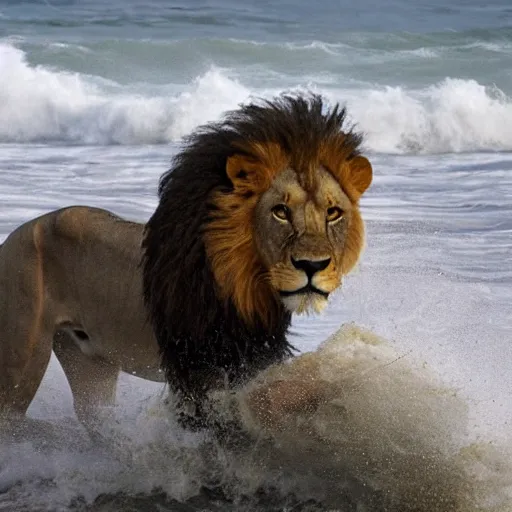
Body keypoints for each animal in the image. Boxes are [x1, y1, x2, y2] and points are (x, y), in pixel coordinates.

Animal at [0, 94, 374, 430]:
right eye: (280, 212)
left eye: (333, 213)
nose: (313, 265)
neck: (248, 285)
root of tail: (17, 232)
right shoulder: (200, 374)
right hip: (21, 364)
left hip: (90, 362)